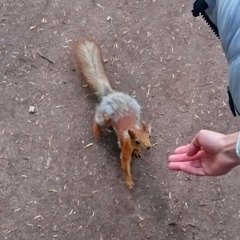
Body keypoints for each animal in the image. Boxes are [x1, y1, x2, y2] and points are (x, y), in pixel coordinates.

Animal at [71, 38, 152, 188]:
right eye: (136, 141)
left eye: (148, 135)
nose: (148, 147)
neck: (133, 128)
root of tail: (111, 94)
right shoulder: (125, 146)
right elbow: (124, 162)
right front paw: (129, 180)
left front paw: (137, 151)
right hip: (104, 117)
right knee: (97, 119)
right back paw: (96, 130)